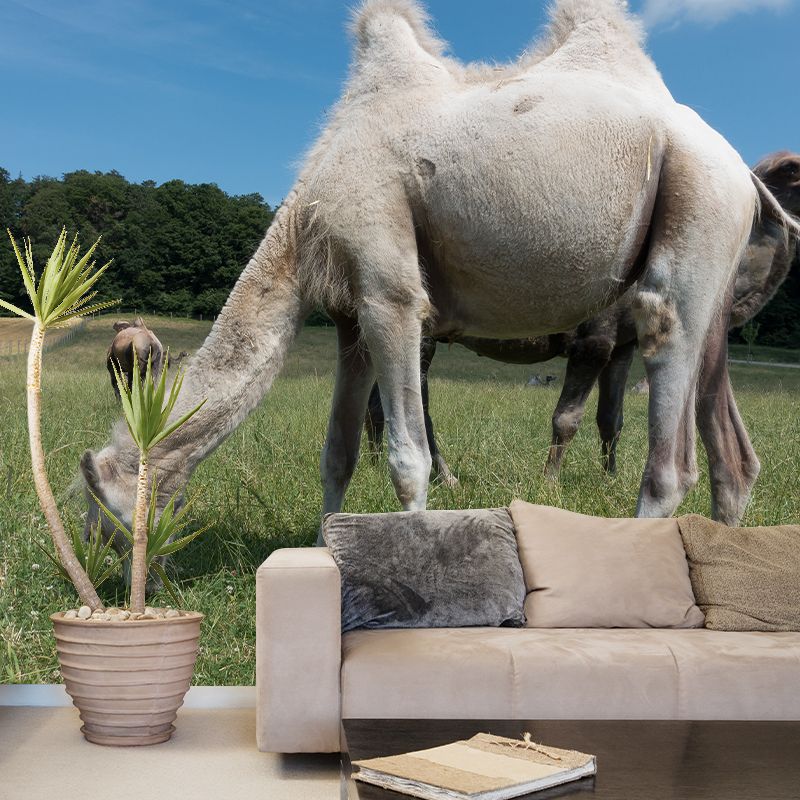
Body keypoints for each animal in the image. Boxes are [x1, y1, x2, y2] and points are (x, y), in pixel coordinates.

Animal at [365, 151, 800, 483]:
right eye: (793, 170)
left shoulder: (621, 345)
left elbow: (612, 417)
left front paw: (609, 481)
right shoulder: (592, 340)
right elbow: (567, 417)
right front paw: (549, 482)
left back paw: (373, 468)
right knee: (415, 401)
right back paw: (446, 478)